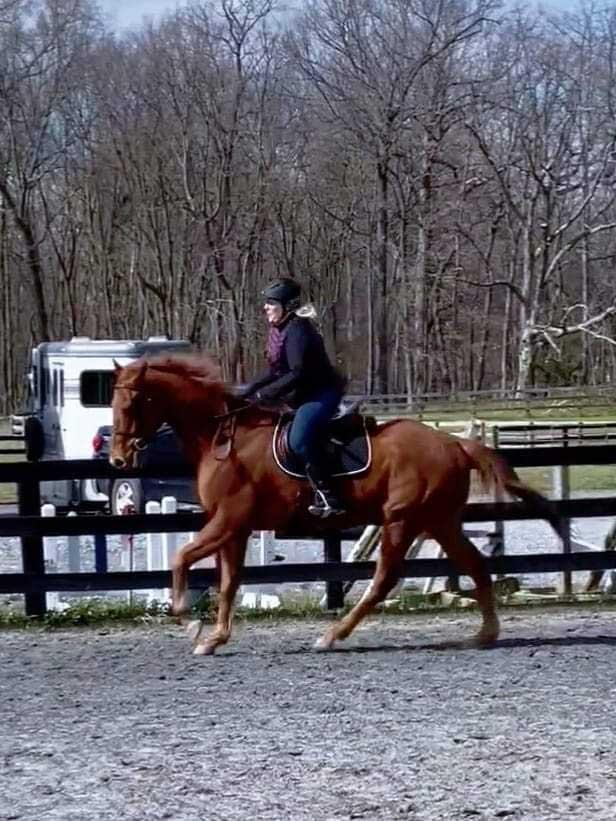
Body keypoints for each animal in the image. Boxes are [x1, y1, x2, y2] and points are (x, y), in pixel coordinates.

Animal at [110, 354, 563, 656]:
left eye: (132, 403)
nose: (117, 459)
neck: (223, 437)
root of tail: (454, 444)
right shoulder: (234, 528)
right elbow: (228, 582)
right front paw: (214, 638)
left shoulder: (228, 521)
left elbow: (181, 559)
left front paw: (189, 621)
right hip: (439, 521)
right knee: (475, 565)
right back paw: (485, 635)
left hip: (401, 520)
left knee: (383, 579)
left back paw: (332, 636)